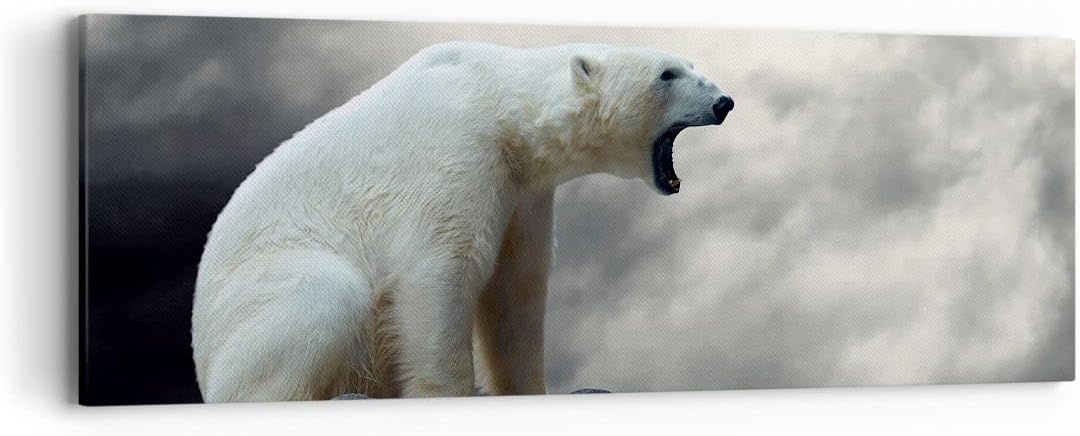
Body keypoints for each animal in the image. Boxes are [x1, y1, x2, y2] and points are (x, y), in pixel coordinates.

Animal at [191, 42, 733, 402]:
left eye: (689, 64)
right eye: (667, 74)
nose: (724, 101)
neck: (497, 99)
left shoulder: (523, 190)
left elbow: (517, 290)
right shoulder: (456, 150)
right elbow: (440, 267)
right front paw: (445, 393)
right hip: (261, 297)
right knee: (326, 293)